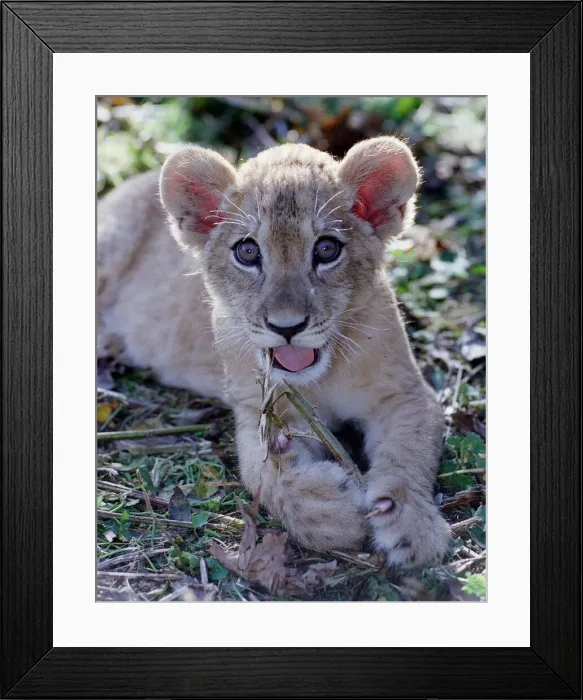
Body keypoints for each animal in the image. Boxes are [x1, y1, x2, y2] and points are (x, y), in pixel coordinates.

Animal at [97, 137, 450, 568]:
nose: (287, 327)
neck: (323, 377)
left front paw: (412, 527)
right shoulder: (257, 410)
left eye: (327, 249)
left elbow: (407, 454)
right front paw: (325, 508)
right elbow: (262, 472)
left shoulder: (405, 395)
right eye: (248, 252)